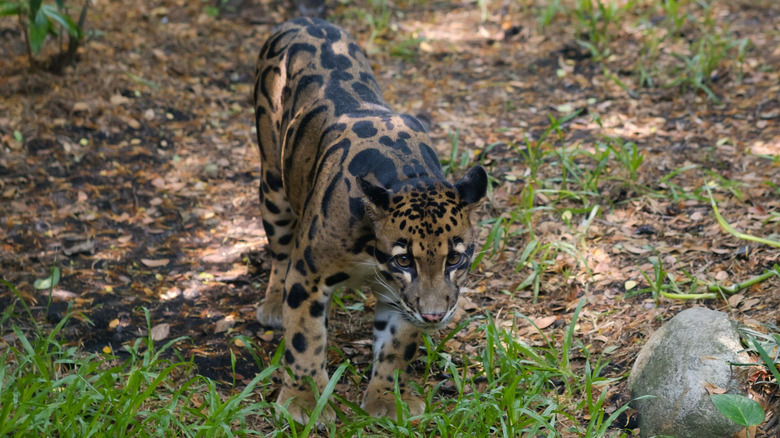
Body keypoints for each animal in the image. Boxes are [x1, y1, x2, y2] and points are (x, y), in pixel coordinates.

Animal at [252, 17, 487, 424]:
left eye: (455, 259)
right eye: (404, 260)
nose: (434, 316)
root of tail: (303, 20)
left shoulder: (400, 298)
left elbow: (396, 346)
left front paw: (387, 399)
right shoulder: (308, 275)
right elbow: (304, 339)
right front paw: (304, 401)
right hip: (273, 183)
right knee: (279, 249)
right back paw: (271, 305)